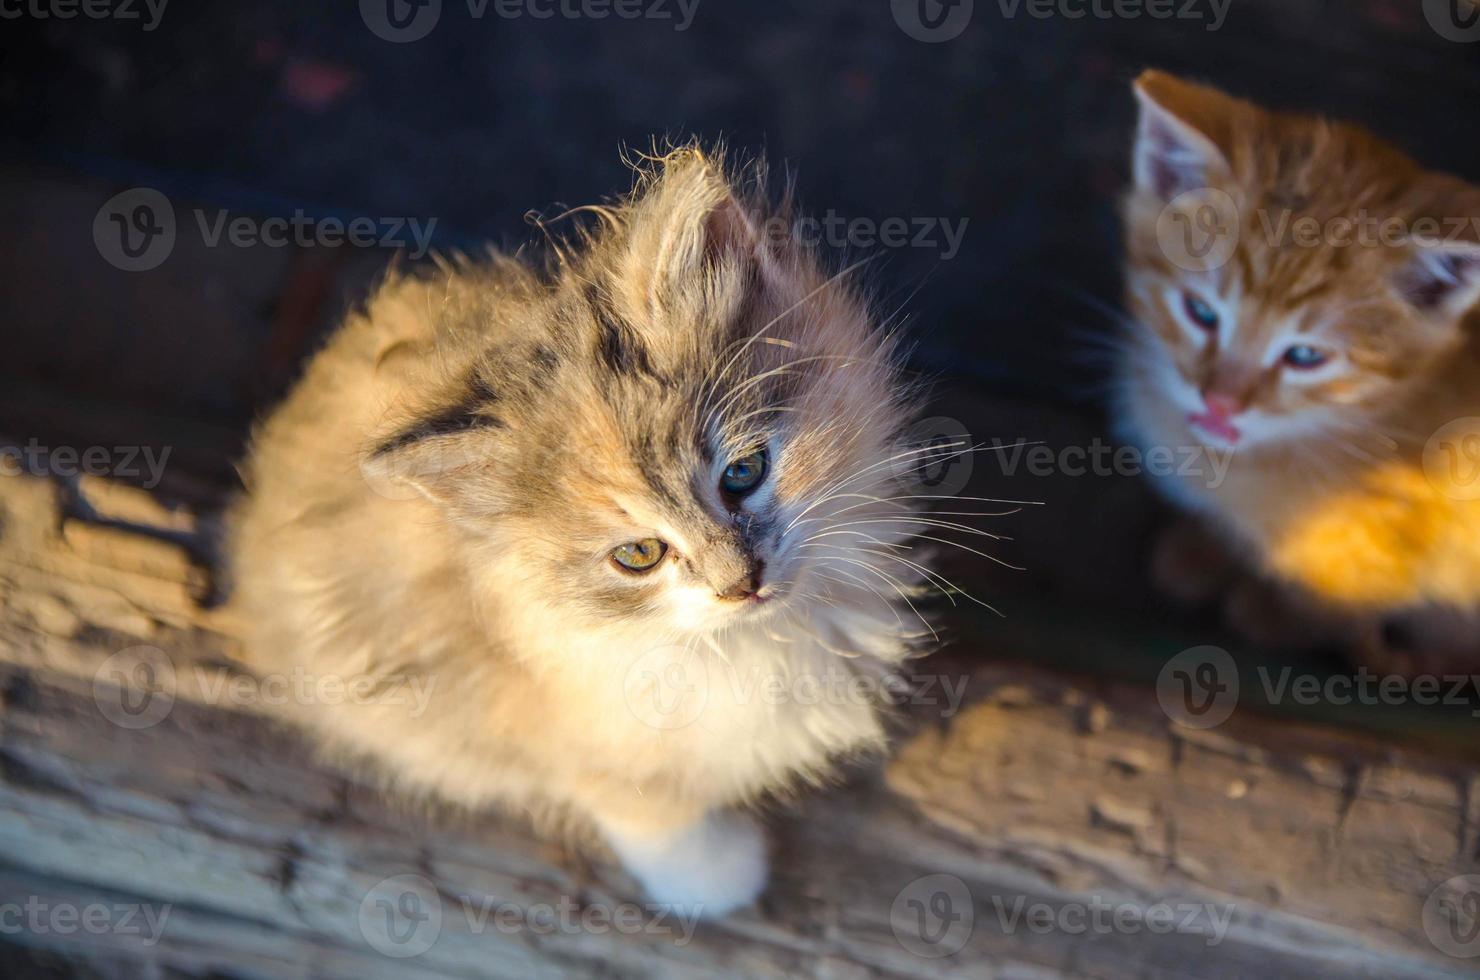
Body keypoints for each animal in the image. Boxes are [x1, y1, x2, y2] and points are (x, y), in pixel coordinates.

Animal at [232, 149, 947, 917]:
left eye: (744, 472)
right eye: (638, 555)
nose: (742, 584)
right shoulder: (574, 734)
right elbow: (652, 816)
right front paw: (719, 879)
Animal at [1118, 71, 1480, 675]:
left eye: (1305, 357)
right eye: (1201, 312)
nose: (1219, 402)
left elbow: (1346, 595)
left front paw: (1273, 614)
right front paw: (1202, 552)